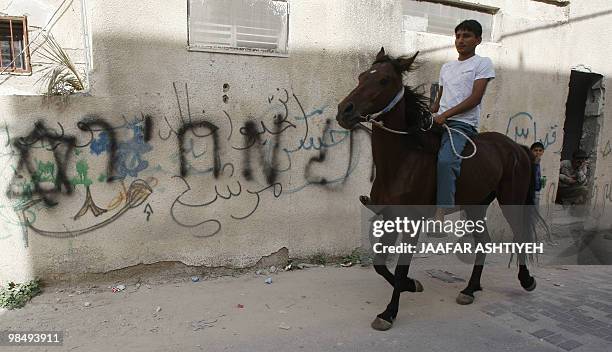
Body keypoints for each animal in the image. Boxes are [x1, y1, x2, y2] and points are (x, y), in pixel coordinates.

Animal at [338, 48, 544, 332]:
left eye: (383, 81)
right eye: (361, 76)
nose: (344, 111)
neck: (403, 159)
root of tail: (517, 147)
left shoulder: (412, 222)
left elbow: (400, 269)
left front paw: (389, 312)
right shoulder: (391, 216)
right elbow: (380, 265)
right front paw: (412, 286)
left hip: (511, 200)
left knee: (520, 236)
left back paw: (526, 280)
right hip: (476, 205)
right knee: (484, 242)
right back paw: (470, 289)